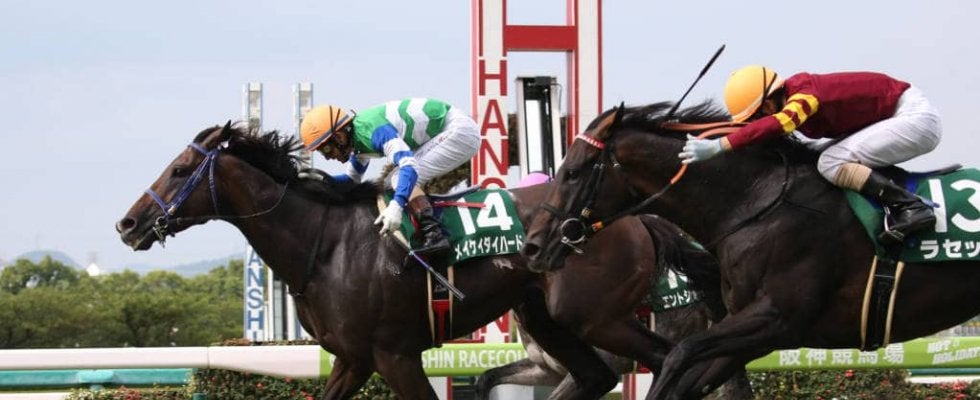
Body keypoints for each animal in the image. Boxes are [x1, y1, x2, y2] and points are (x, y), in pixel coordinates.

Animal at [116, 122, 727, 400]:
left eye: (178, 171)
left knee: (679, 359)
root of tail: (635, 217)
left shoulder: (395, 355)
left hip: (597, 316)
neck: (324, 246)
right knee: (600, 375)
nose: (128, 224)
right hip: (552, 318)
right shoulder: (352, 358)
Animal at [521, 100, 980, 399]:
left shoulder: (777, 317)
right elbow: (691, 377)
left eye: (572, 171)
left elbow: (679, 357)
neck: (753, 204)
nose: (534, 245)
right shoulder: (755, 331)